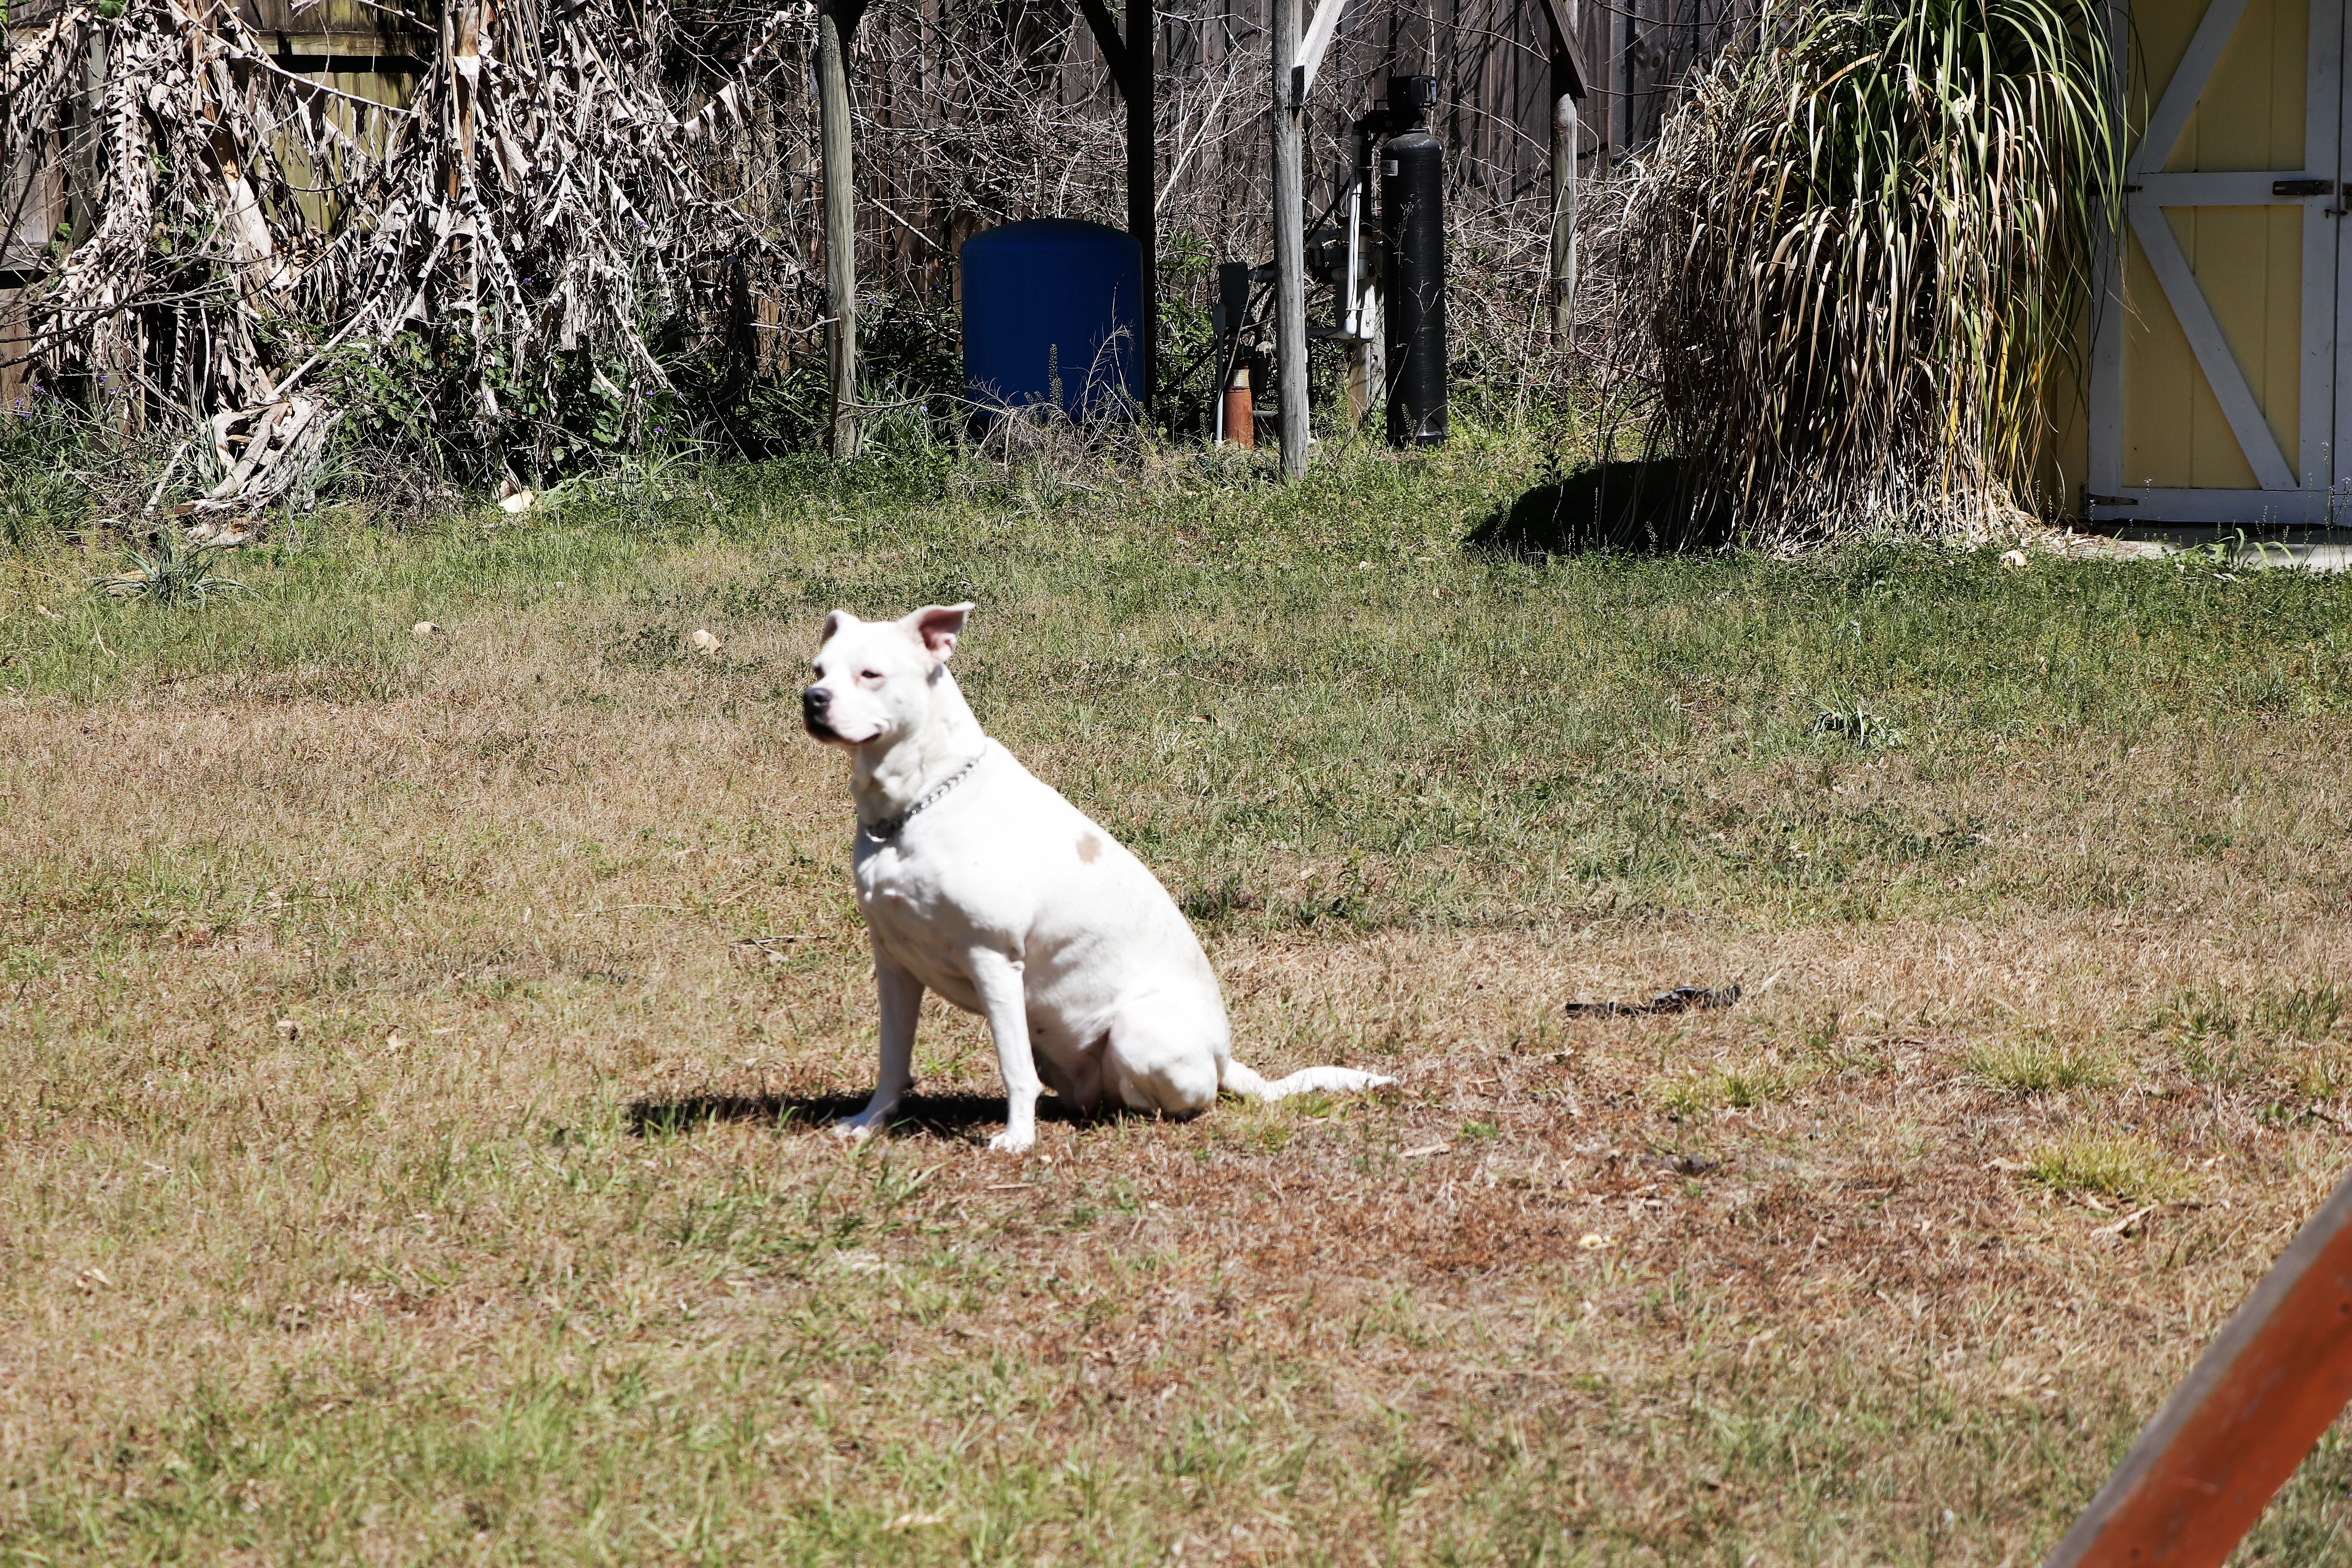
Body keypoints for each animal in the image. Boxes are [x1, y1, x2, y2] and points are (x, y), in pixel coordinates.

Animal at [804, 602, 1392, 1152]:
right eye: (818, 670)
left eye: (871, 674)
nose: (813, 700)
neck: (919, 800)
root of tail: (1226, 1059)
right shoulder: (894, 959)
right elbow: (892, 1058)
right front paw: (869, 1122)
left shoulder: (993, 958)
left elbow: (1014, 1066)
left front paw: (1018, 1138)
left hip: (1139, 1029)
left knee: (1176, 1099)